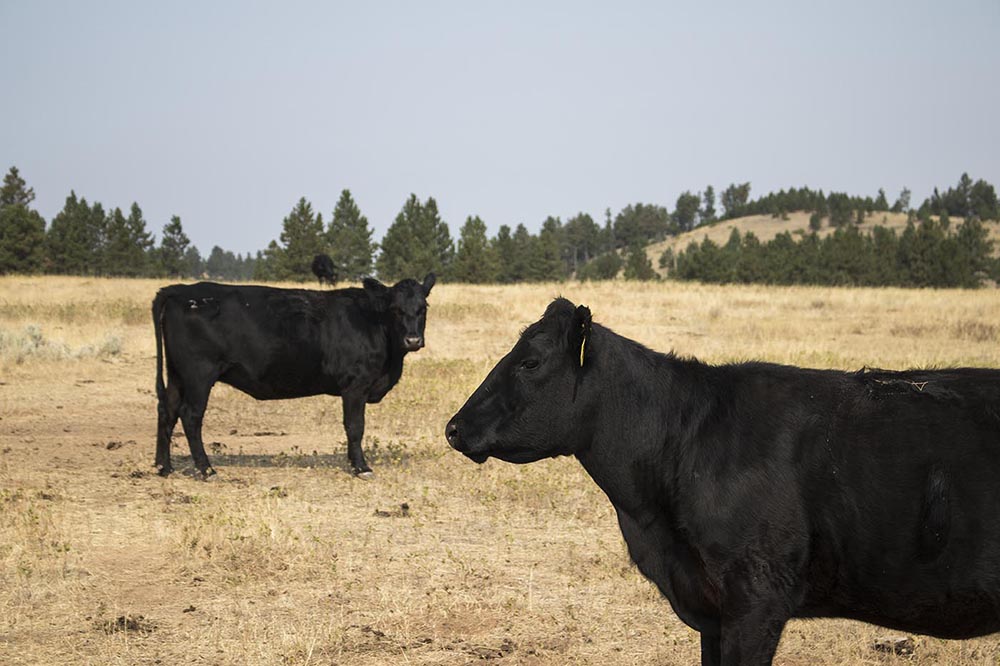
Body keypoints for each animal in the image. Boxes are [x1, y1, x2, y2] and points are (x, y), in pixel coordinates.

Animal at [152, 273, 434, 479]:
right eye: (395, 309)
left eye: (423, 308)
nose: (412, 340)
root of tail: (179, 290)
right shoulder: (355, 386)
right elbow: (355, 427)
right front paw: (361, 467)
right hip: (199, 375)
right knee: (190, 415)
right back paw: (206, 469)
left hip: (177, 374)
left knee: (168, 410)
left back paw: (163, 467)